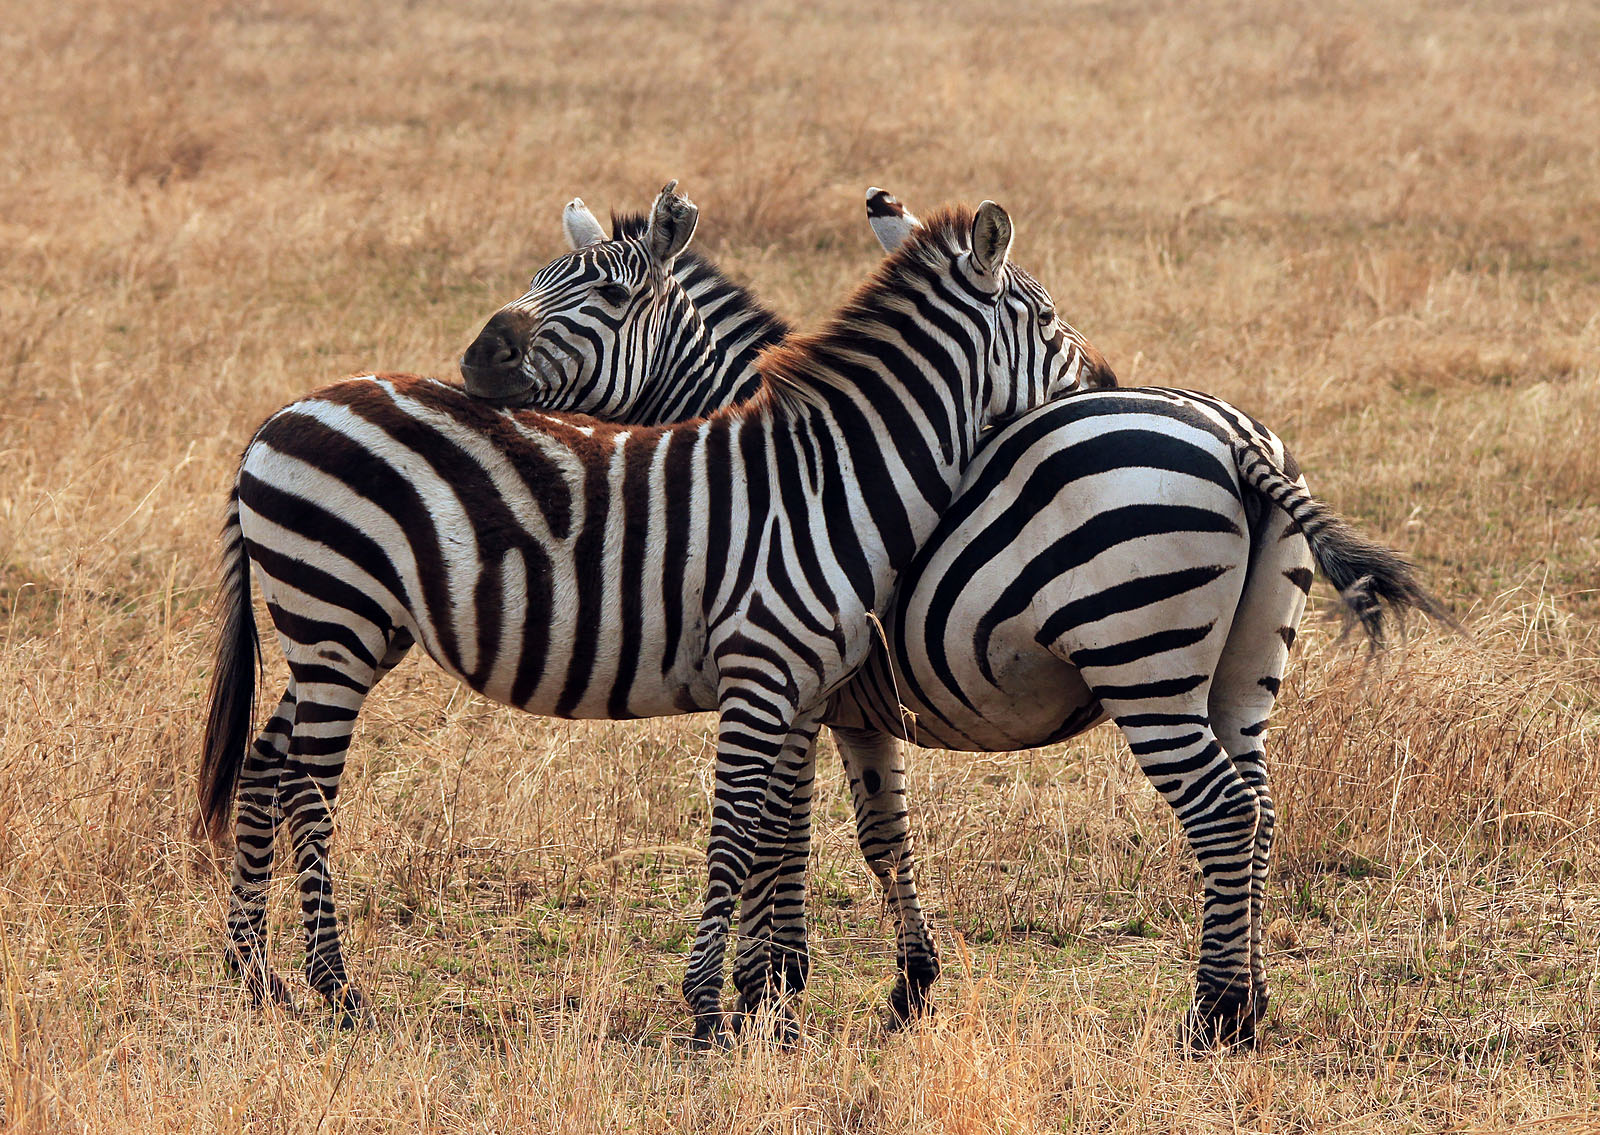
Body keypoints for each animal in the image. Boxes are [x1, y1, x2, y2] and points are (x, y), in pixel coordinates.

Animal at [196, 184, 1088, 1043]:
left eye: (610, 292)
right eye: (1048, 321)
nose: (478, 359)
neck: (827, 476)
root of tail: (278, 419)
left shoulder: (811, 688)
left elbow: (815, 830)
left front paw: (786, 994)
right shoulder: (771, 673)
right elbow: (753, 833)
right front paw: (741, 1003)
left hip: (346, 629)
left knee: (266, 761)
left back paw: (257, 974)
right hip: (335, 617)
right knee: (309, 787)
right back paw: (338, 990)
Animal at [460, 185, 1452, 1043]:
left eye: (608, 294)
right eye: (546, 278)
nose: (475, 359)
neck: (775, 463)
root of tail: (1239, 439)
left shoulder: (794, 680)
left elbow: (782, 829)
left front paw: (769, 991)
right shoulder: (855, 702)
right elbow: (881, 832)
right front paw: (905, 987)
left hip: (1143, 659)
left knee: (1220, 812)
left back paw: (1211, 1016)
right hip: (1246, 671)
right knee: (1260, 806)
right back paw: (1251, 999)